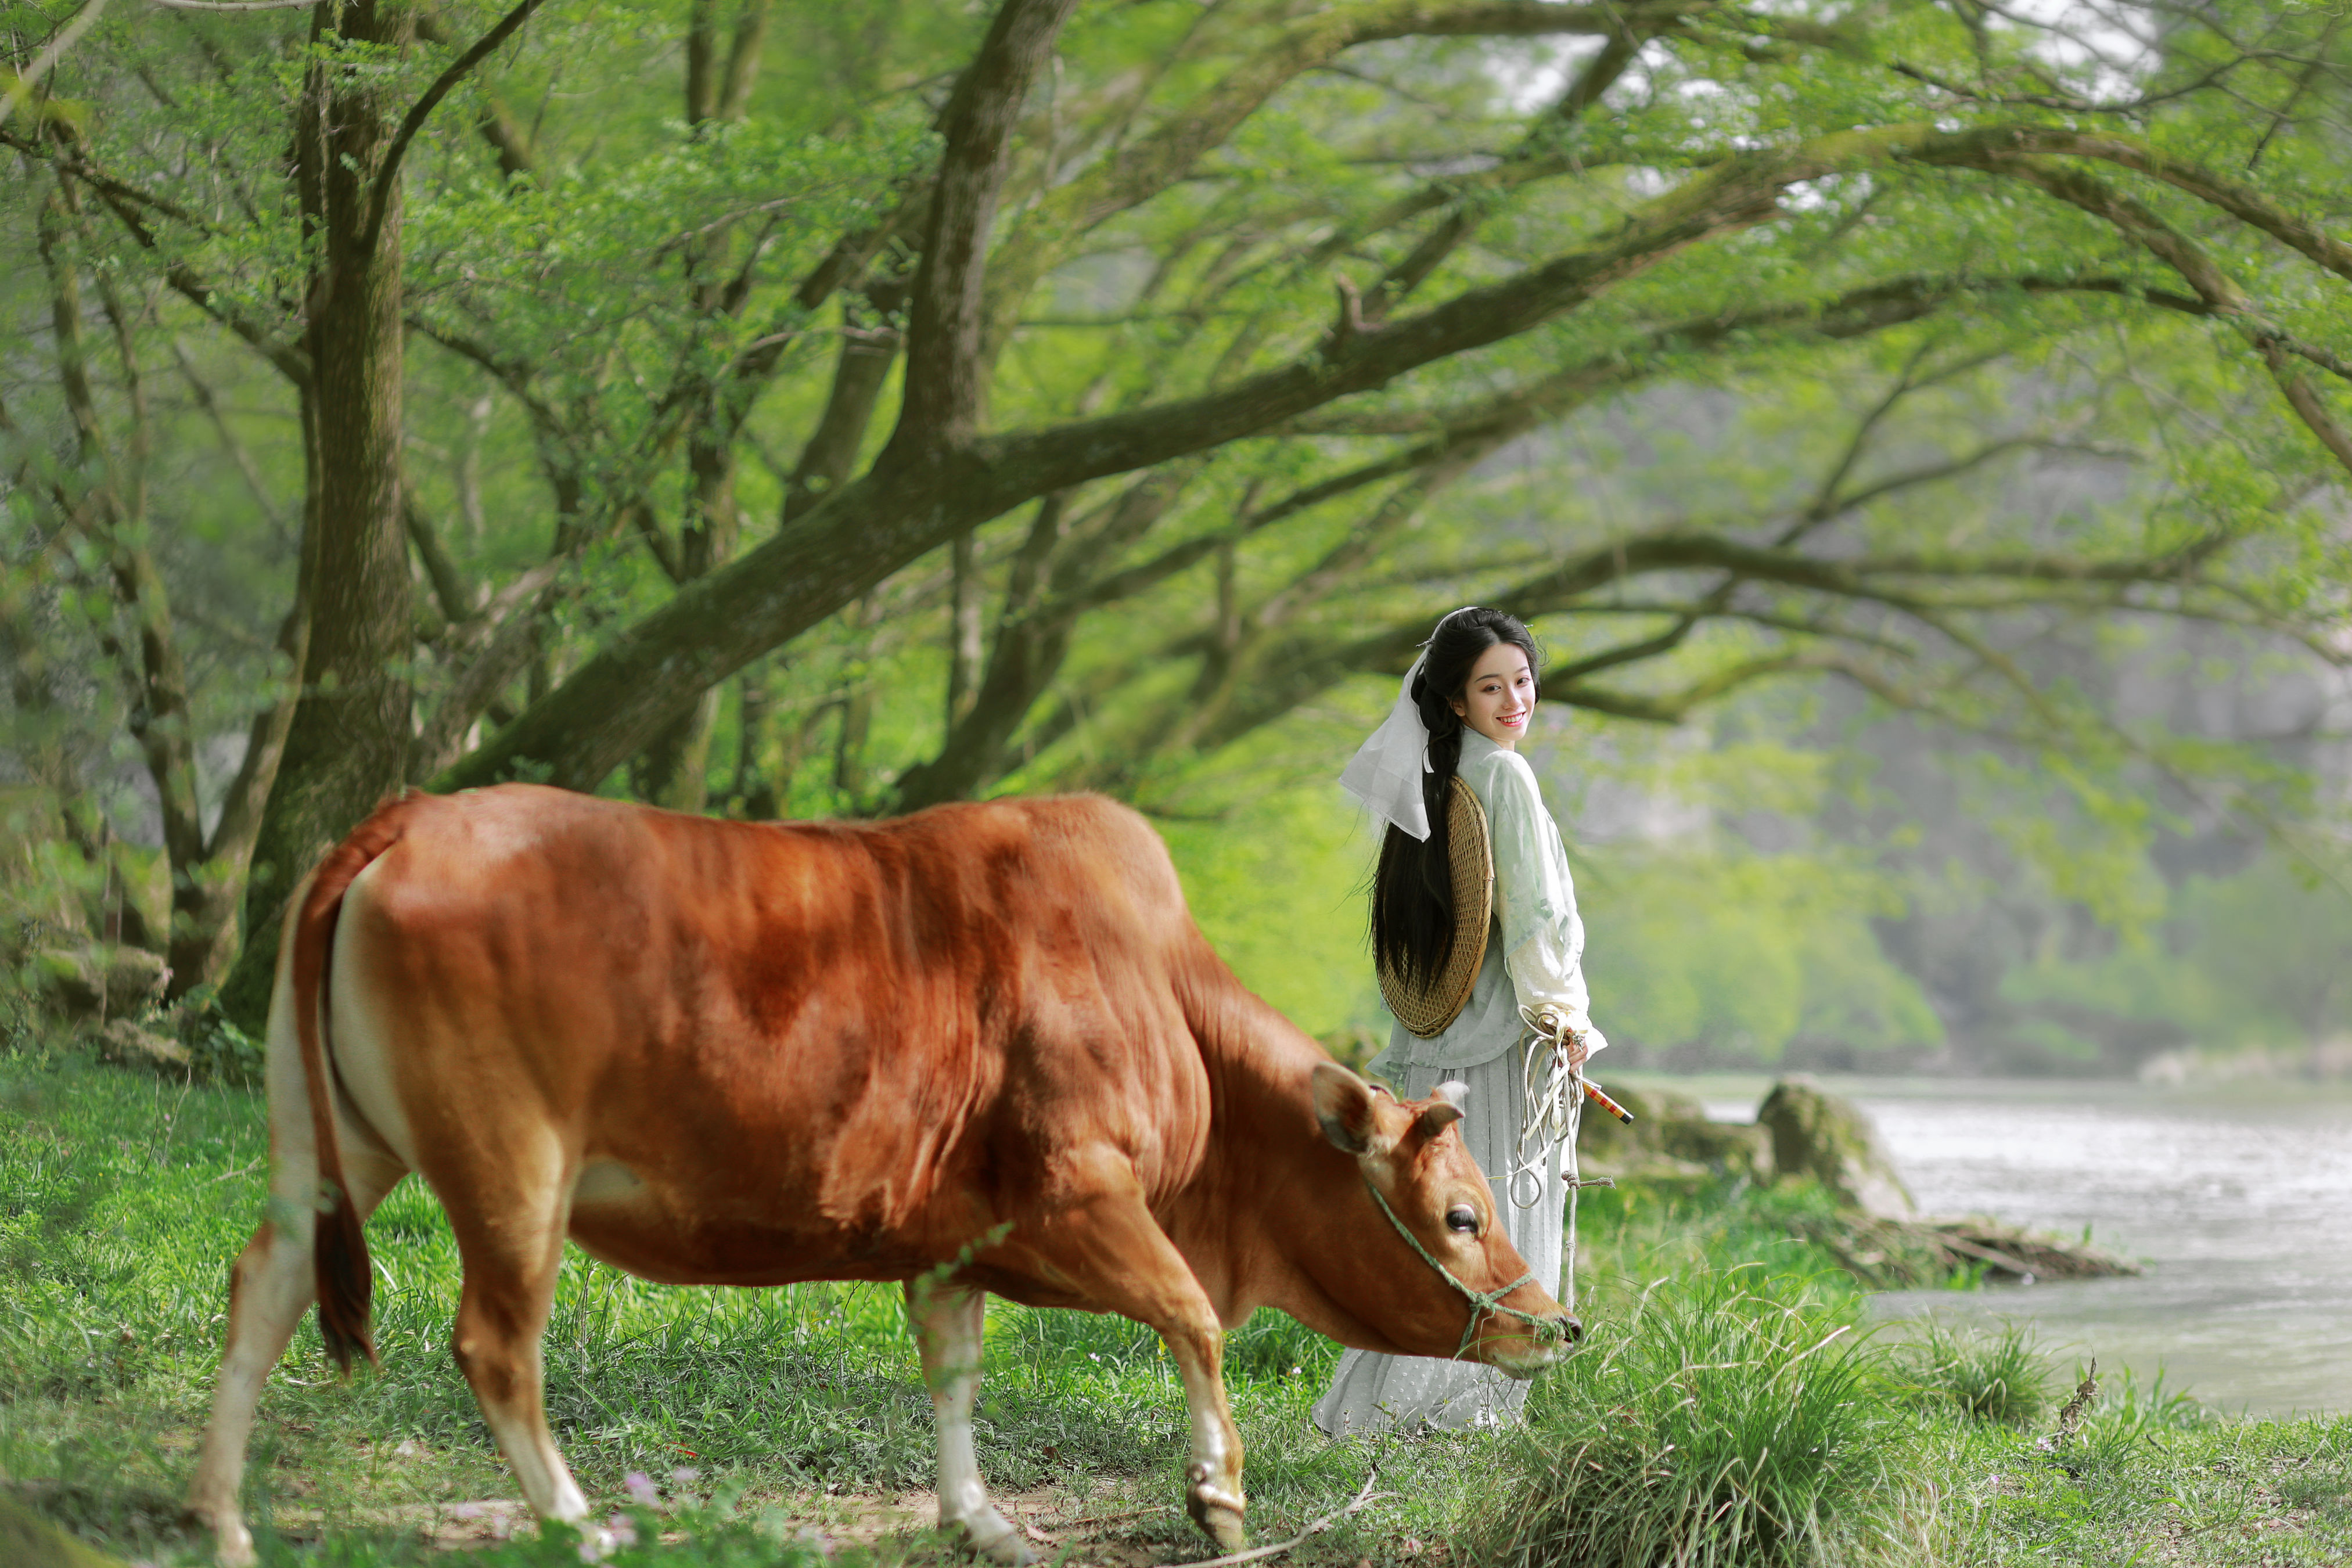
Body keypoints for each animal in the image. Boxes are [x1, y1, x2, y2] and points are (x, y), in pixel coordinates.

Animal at [188, 790, 1580, 1560]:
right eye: (1461, 1212)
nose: (1555, 1326)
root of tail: (411, 814)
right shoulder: (1081, 1192)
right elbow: (1191, 1318)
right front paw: (1219, 1495)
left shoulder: (949, 1241)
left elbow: (952, 1372)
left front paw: (982, 1521)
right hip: (509, 1163)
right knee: (493, 1343)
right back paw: (577, 1524)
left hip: (333, 1144)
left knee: (262, 1287)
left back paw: (226, 1523)